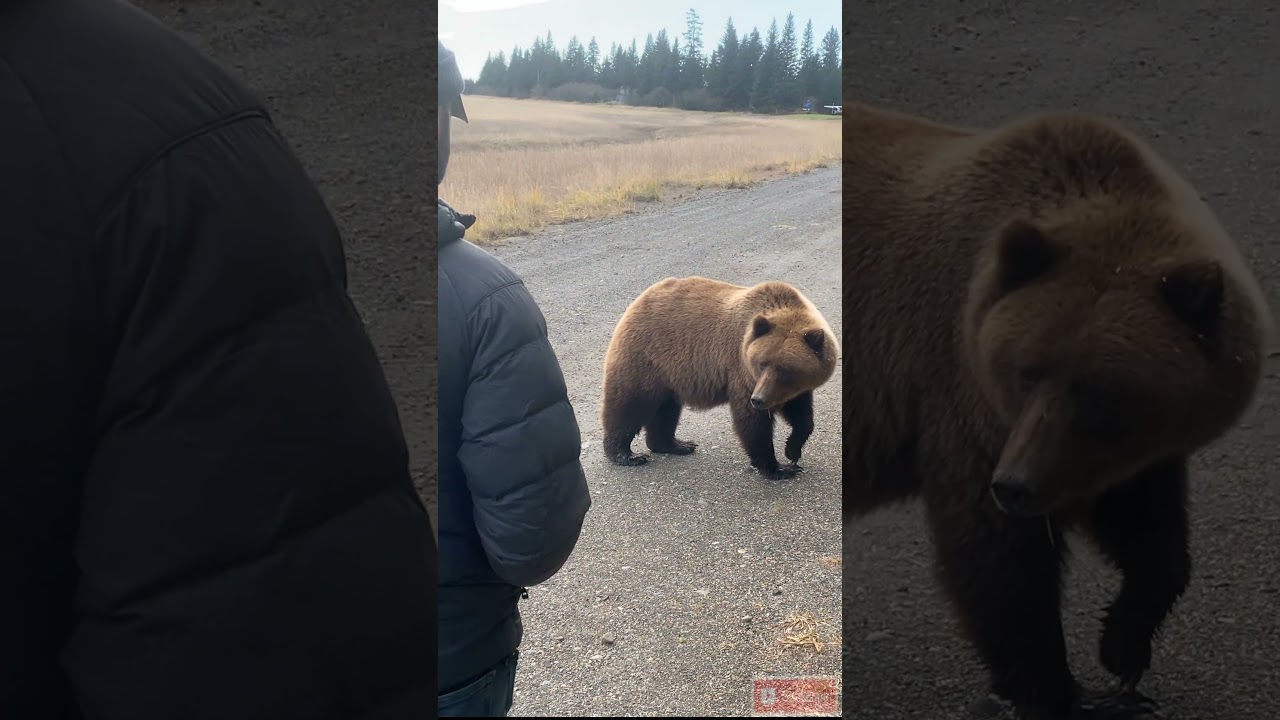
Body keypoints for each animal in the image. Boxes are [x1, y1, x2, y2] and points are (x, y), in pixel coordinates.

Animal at [600, 276, 839, 480]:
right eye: (761, 363)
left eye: (785, 369)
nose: (759, 399)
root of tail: (640, 299)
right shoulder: (742, 371)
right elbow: (752, 422)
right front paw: (776, 468)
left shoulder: (790, 389)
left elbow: (801, 414)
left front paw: (792, 450)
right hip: (645, 357)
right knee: (628, 404)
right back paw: (626, 454)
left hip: (668, 374)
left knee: (666, 409)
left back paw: (676, 444)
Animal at [844, 103, 1274, 720]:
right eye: (1027, 370)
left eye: (1100, 389)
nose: (1016, 485)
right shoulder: (965, 395)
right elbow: (1001, 562)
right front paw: (1061, 692)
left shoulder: (1116, 451)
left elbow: (1151, 530)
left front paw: (1122, 646)